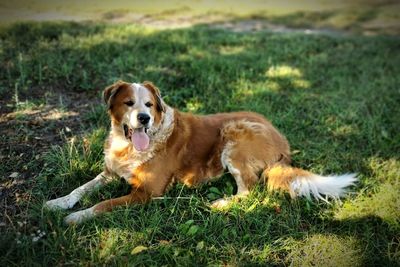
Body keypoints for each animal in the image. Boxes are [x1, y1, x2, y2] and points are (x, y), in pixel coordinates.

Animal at [45, 80, 358, 225]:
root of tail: (283, 142)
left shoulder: (147, 193)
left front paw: (77, 217)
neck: (129, 145)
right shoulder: (110, 172)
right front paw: (58, 203)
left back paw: (220, 204)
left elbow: (103, 204)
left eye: (149, 105)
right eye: (129, 103)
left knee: (250, 189)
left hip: (234, 133)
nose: (144, 119)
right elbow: (81, 188)